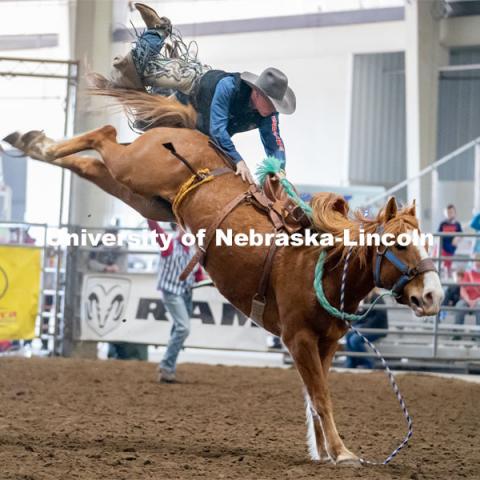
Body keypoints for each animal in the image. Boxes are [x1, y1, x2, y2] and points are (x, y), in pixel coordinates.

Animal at [2, 92, 442, 464]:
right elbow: (320, 397)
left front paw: (323, 451)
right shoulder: (298, 338)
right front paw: (342, 453)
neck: (320, 266)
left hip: (142, 196)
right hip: (135, 172)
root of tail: (189, 130)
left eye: (426, 240)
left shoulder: (327, 343)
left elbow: (316, 397)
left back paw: (34, 143)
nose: (434, 296)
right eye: (400, 242)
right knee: (105, 135)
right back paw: (32, 140)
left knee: (90, 163)